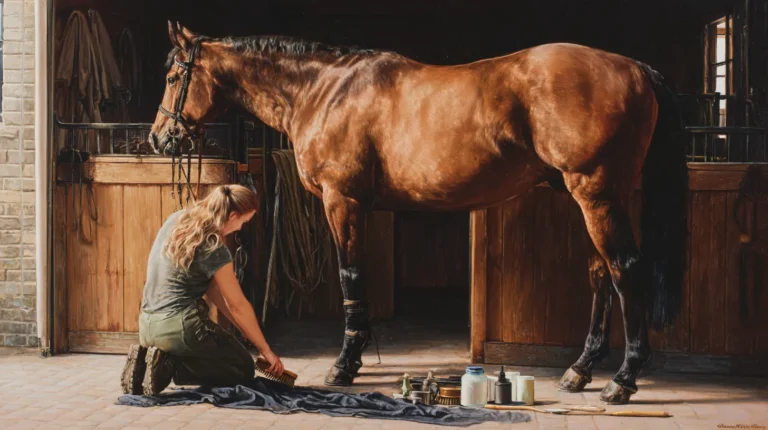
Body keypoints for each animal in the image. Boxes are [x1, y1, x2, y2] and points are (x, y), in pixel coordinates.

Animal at [149, 21, 688, 404]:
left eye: (175, 76)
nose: (160, 139)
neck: (324, 89)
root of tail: (636, 69)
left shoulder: (341, 200)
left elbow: (350, 277)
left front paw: (344, 364)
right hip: (587, 199)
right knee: (601, 275)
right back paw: (579, 372)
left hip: (597, 194)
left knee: (625, 271)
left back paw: (622, 380)